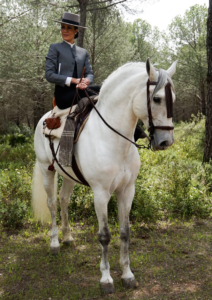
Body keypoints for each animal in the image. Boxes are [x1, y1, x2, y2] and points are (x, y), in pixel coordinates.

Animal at [32, 58, 176, 292]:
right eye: (157, 98)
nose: (166, 142)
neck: (112, 138)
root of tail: (45, 117)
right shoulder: (100, 194)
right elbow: (105, 235)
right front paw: (106, 279)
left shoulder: (127, 191)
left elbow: (125, 232)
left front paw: (127, 274)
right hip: (47, 170)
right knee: (52, 203)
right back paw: (54, 243)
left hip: (69, 176)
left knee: (63, 200)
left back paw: (68, 237)